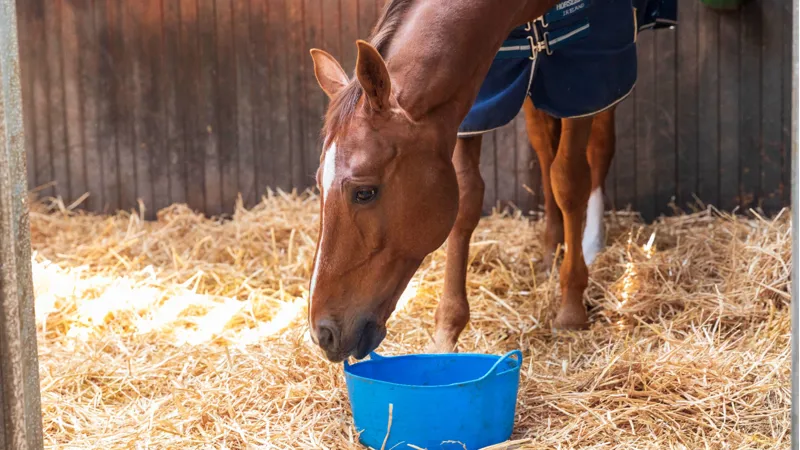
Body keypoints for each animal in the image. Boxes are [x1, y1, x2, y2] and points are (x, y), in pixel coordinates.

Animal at [305, 0, 675, 362]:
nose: (322, 332)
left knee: (596, 149)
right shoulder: (476, 92)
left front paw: (571, 308)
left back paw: (592, 241)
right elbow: (467, 198)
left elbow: (570, 181)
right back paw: (549, 249)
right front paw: (447, 328)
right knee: (543, 147)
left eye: (364, 192)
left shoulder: (586, 63)